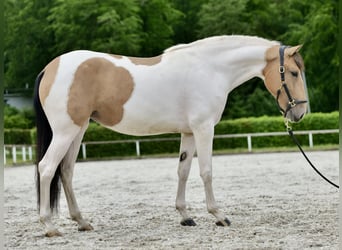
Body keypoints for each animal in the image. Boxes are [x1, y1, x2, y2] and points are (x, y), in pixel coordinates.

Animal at [34, 35, 308, 236]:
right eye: (293, 73)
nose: (300, 112)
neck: (211, 69)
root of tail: (49, 68)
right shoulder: (204, 128)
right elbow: (206, 172)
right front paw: (219, 215)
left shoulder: (188, 132)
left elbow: (183, 171)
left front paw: (186, 216)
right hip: (65, 131)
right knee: (47, 168)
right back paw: (49, 226)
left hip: (78, 130)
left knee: (66, 171)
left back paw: (82, 221)